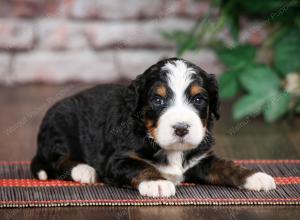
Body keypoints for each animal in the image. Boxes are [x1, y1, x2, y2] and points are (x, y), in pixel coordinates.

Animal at [31, 57, 276, 197]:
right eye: (158, 100)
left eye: (198, 99)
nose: (181, 128)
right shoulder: (118, 159)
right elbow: (140, 166)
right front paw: (157, 182)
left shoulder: (201, 159)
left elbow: (225, 166)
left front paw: (254, 176)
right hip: (60, 122)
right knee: (57, 159)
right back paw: (84, 170)